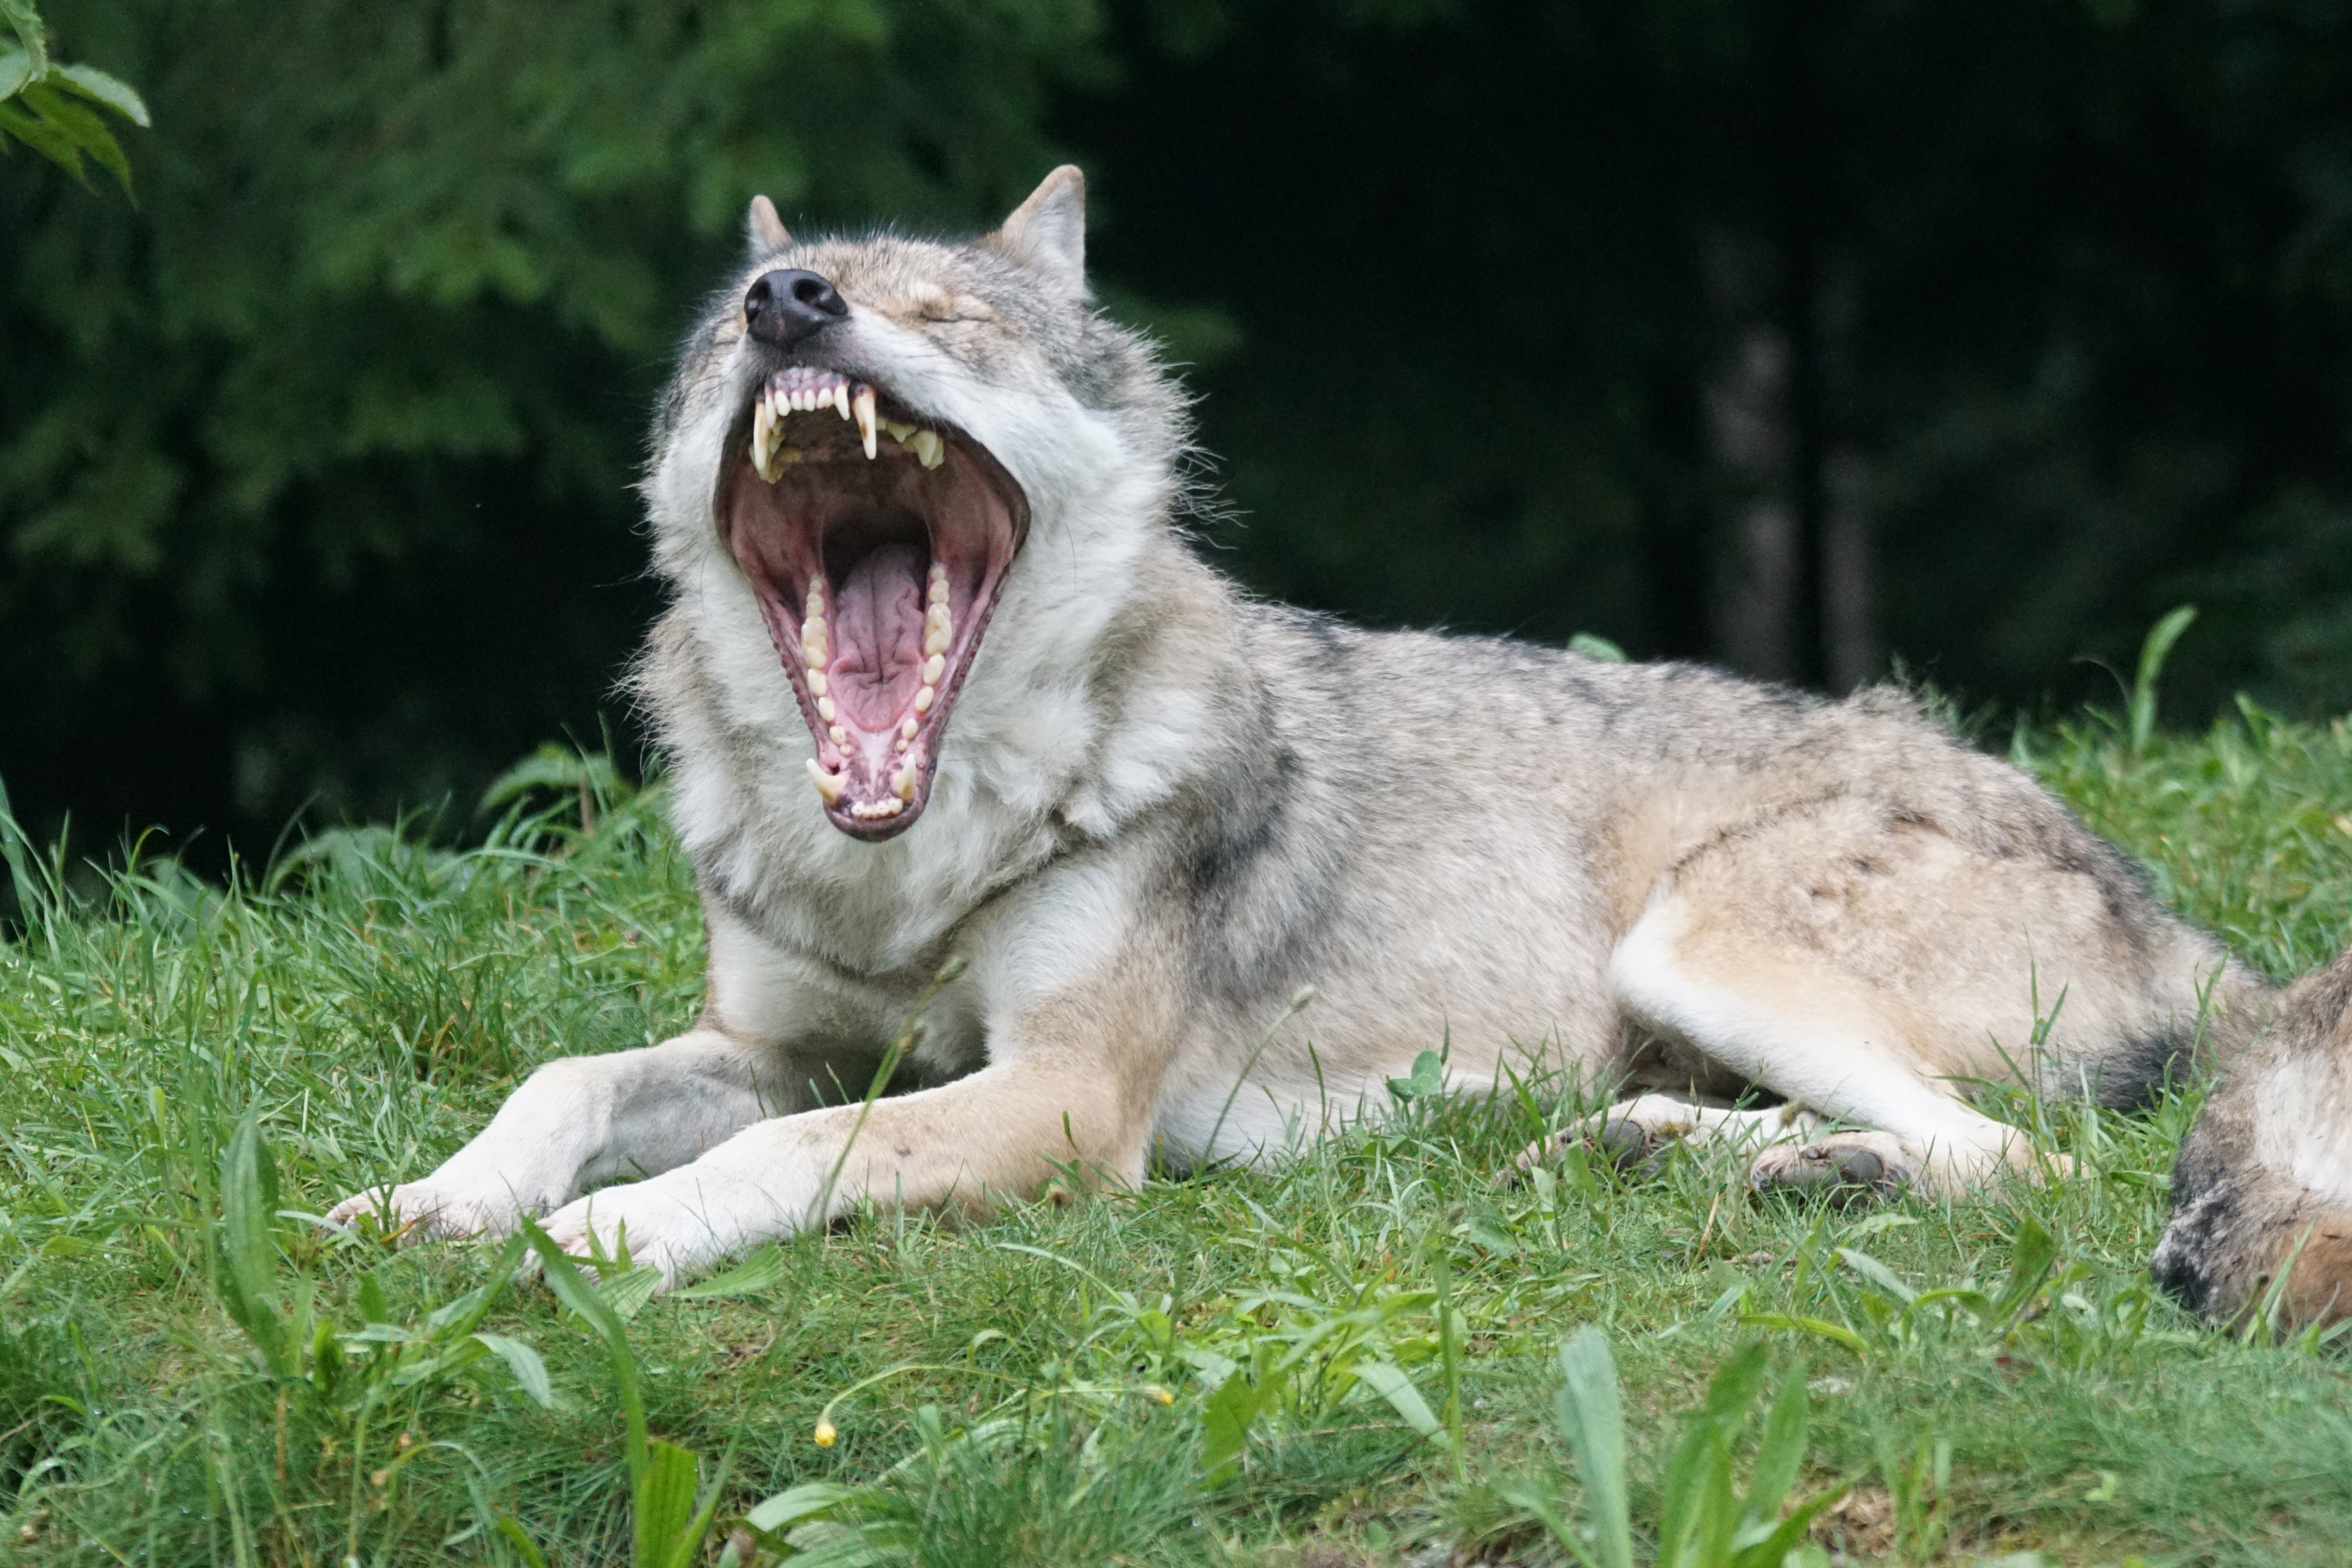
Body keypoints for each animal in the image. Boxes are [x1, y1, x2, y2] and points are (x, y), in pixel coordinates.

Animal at [327, 171, 2333, 1326]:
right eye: (743, 325)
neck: (910, 859)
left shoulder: (1058, 1100)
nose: (789, 307)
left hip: (1699, 936)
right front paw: (420, 1199)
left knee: (2022, 1167)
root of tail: (2184, 921)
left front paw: (592, 1246)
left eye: (945, 316)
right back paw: (1669, 1149)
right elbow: (567, 1081)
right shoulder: (775, 1042)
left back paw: (1801, 1175)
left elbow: (770, 1162)